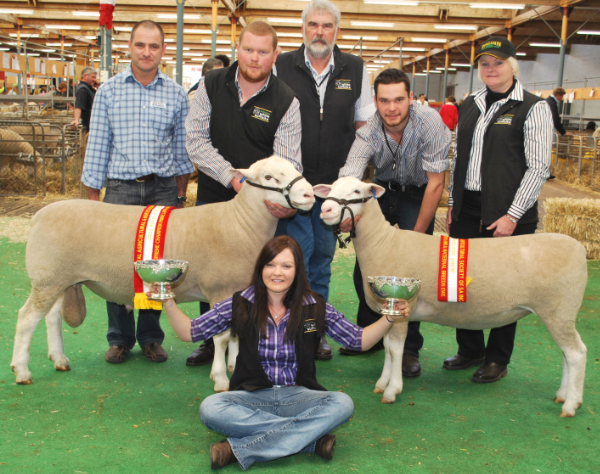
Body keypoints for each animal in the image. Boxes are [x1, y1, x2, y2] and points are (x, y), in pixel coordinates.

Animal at [11, 156, 316, 392]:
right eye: (269, 176)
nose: (309, 195)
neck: (241, 222)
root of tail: (37, 216)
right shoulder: (220, 288)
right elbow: (221, 337)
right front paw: (220, 379)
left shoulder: (238, 290)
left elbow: (237, 332)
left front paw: (234, 365)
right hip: (47, 278)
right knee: (27, 319)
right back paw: (22, 371)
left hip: (59, 279)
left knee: (51, 317)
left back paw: (59, 360)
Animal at [316, 179, 588, 418]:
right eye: (332, 186)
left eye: (356, 190)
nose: (325, 209)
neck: (384, 242)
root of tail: (580, 249)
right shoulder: (389, 312)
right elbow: (386, 347)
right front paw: (382, 383)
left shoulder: (403, 310)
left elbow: (395, 350)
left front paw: (392, 390)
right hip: (561, 312)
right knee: (569, 353)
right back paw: (563, 396)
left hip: (558, 310)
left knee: (576, 354)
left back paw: (570, 405)